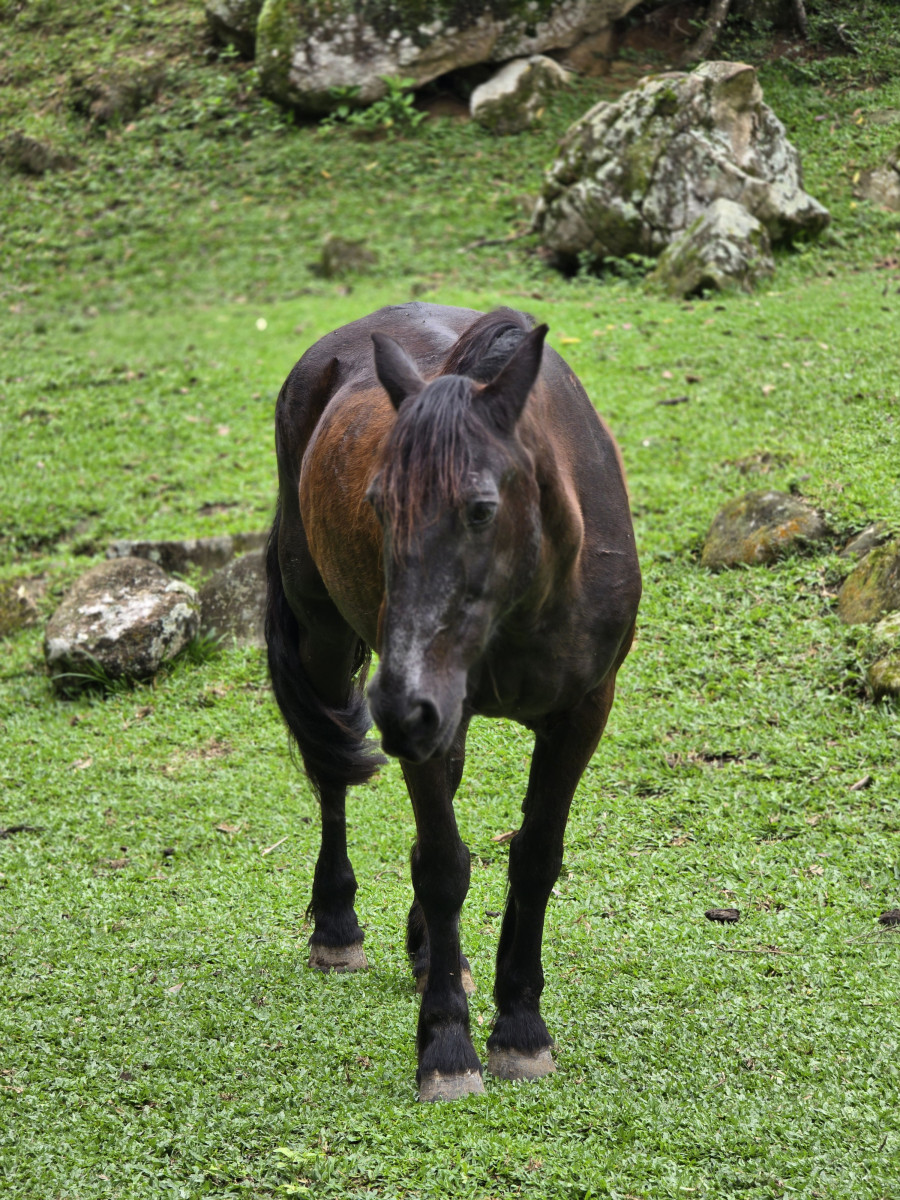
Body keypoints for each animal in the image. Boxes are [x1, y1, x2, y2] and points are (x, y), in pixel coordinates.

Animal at [266, 304, 643, 1099]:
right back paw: (338, 927)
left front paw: (520, 1027)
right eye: (379, 505)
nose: (399, 705)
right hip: (325, 638)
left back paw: (426, 951)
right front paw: (447, 1045)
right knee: (331, 775)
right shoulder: (425, 718)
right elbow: (442, 865)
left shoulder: (581, 712)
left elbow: (534, 858)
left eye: (479, 509)